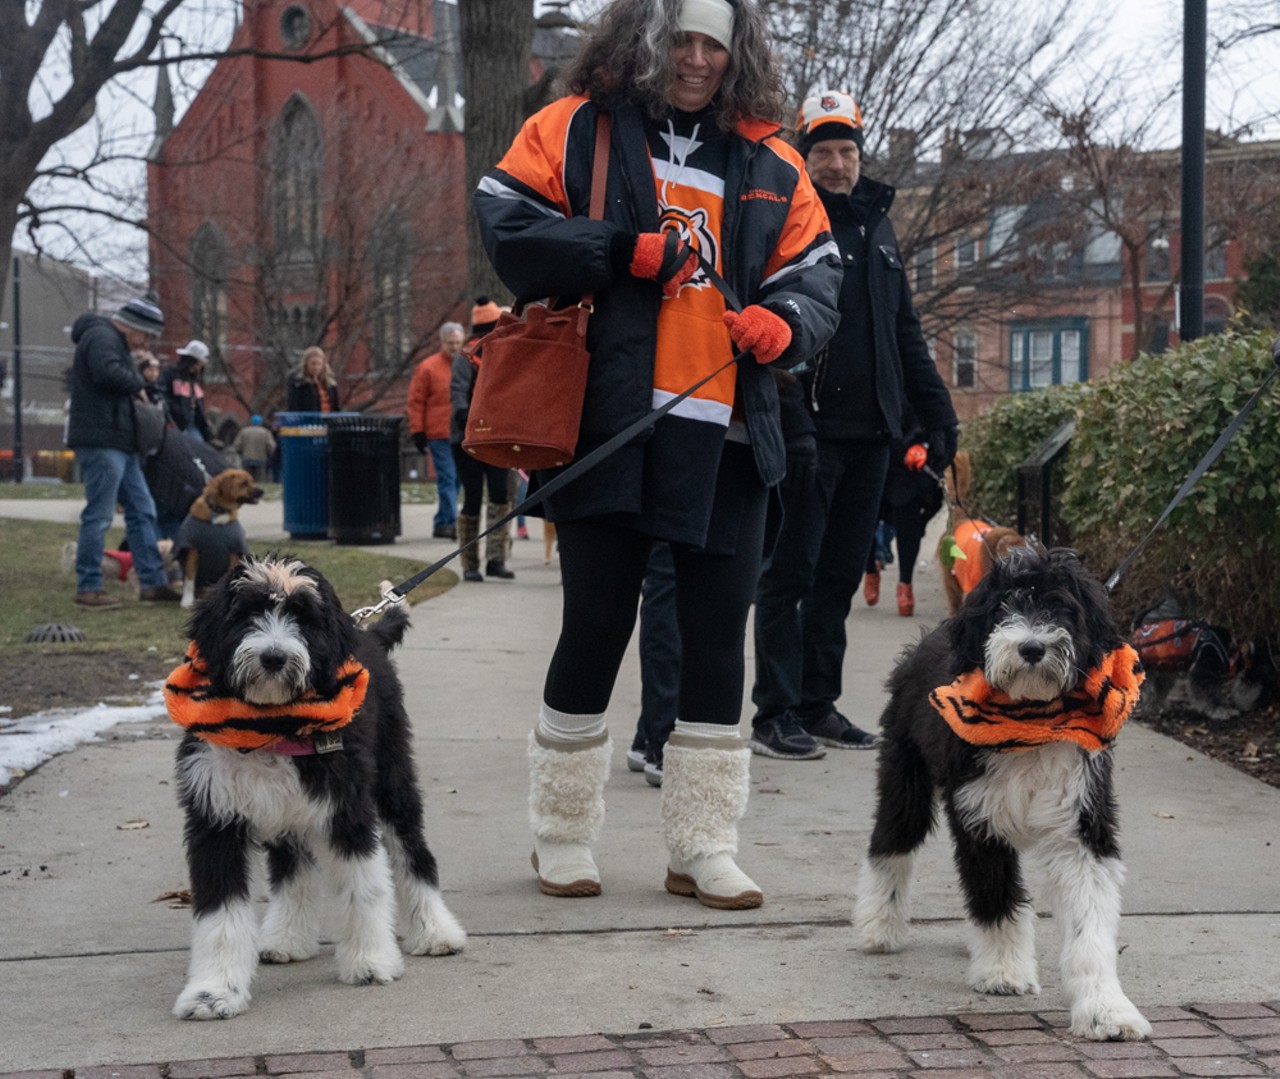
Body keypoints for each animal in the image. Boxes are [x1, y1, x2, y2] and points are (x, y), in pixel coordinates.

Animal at [166, 558, 465, 1018]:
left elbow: (364, 887)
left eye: (303, 618)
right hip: (287, 809)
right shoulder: (214, 819)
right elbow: (219, 914)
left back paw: (435, 931)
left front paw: (371, 962)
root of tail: (364, 633)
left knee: (413, 851)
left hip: (392, 777)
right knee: (294, 867)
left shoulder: (348, 806)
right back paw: (287, 938)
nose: (273, 657)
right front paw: (212, 992)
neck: (273, 725)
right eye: (246, 615)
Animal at [176, 471, 263, 611]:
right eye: (243, 484)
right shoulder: (193, 550)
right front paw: (187, 601)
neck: (219, 511)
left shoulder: (233, 551)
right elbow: (190, 578)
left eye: (252, 481)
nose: (261, 491)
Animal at [860, 552, 1152, 1044]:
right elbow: (995, 898)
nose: (1032, 647)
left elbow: (1089, 927)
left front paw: (1105, 1009)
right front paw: (1003, 973)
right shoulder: (980, 819)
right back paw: (878, 925)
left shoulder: (1082, 827)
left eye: (1061, 609)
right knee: (891, 842)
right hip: (904, 774)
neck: (1032, 724)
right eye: (1002, 608)